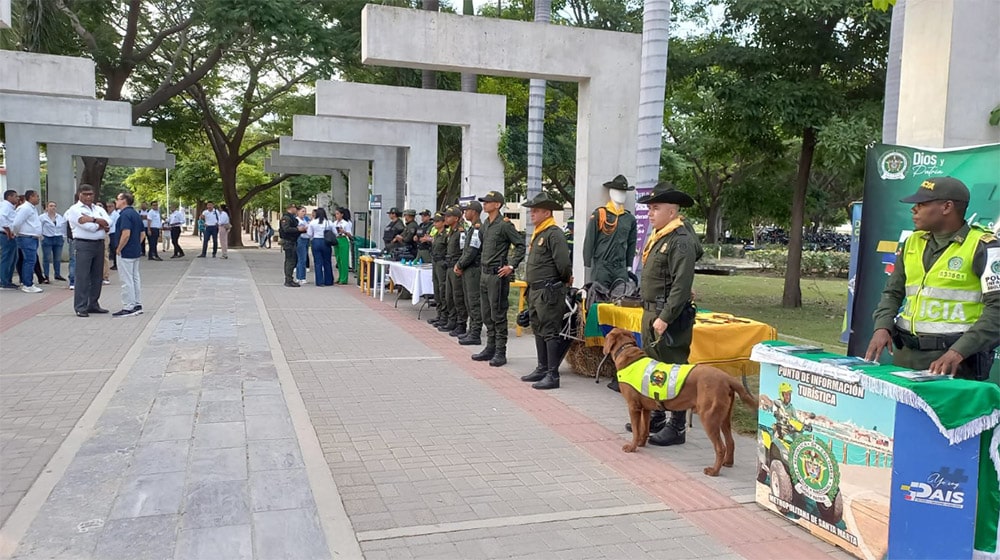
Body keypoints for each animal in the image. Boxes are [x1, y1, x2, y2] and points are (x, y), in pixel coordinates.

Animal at [600, 328, 756, 476]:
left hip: (709, 417)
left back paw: (713, 471)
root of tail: (727, 378)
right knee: (730, 442)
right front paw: (641, 443)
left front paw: (632, 447)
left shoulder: (634, 407)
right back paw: (728, 463)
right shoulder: (646, 408)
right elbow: (644, 429)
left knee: (720, 447)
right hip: (724, 418)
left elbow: (636, 430)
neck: (628, 354)